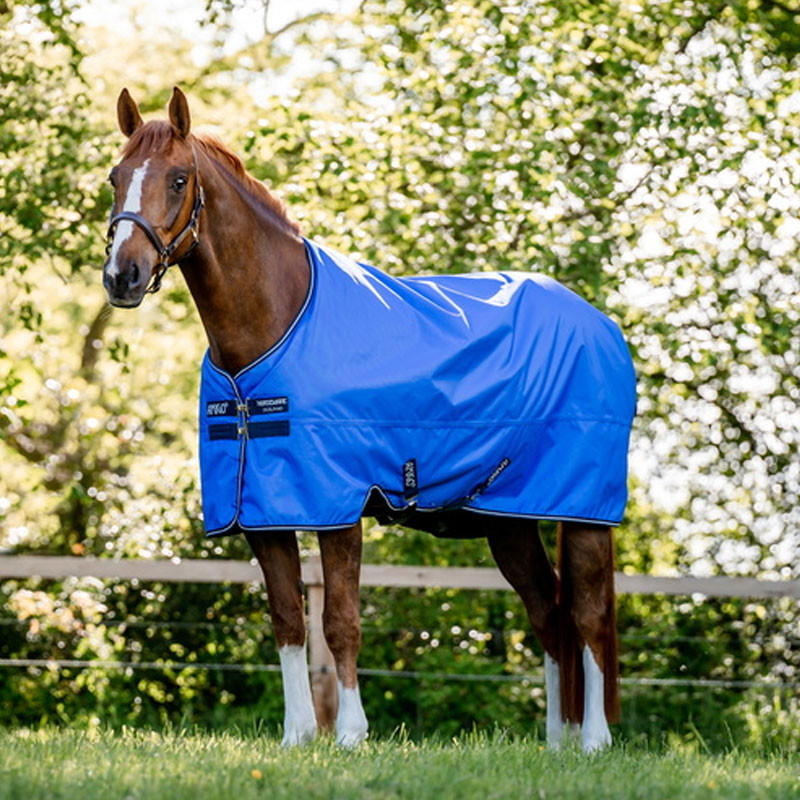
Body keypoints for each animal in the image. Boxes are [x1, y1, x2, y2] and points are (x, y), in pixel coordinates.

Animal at [102, 87, 632, 752]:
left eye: (177, 179)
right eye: (115, 177)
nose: (121, 276)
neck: (274, 327)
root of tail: (600, 323)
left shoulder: (339, 506)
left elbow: (340, 620)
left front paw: (351, 734)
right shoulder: (263, 513)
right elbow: (288, 620)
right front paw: (298, 735)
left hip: (584, 513)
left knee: (586, 612)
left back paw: (594, 741)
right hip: (509, 520)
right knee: (550, 610)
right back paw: (558, 743)